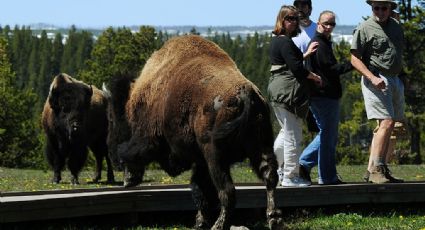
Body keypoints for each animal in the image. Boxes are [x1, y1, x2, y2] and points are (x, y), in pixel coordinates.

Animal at [103, 35, 282, 229]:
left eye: (113, 119)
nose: (113, 155)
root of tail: (246, 93)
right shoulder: (200, 161)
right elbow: (200, 189)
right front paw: (200, 221)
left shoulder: (150, 138)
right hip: (261, 145)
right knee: (269, 177)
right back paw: (274, 219)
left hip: (215, 156)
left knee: (227, 191)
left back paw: (219, 225)